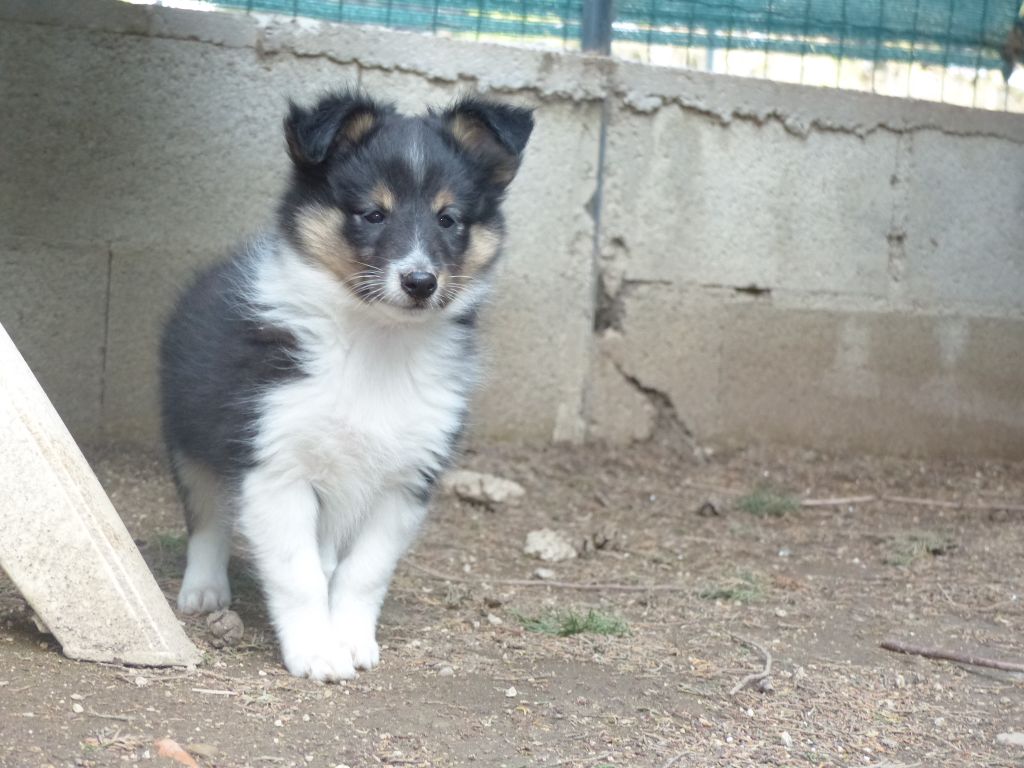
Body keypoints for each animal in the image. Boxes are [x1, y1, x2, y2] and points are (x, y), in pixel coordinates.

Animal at [159, 90, 533, 681]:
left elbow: (363, 572)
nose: (420, 281)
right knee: (207, 517)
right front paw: (316, 651)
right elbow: (299, 573)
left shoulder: (407, 481)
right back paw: (204, 590)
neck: (375, 344)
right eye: (373, 214)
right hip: (190, 438)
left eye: (449, 219)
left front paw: (352, 640)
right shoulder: (276, 467)